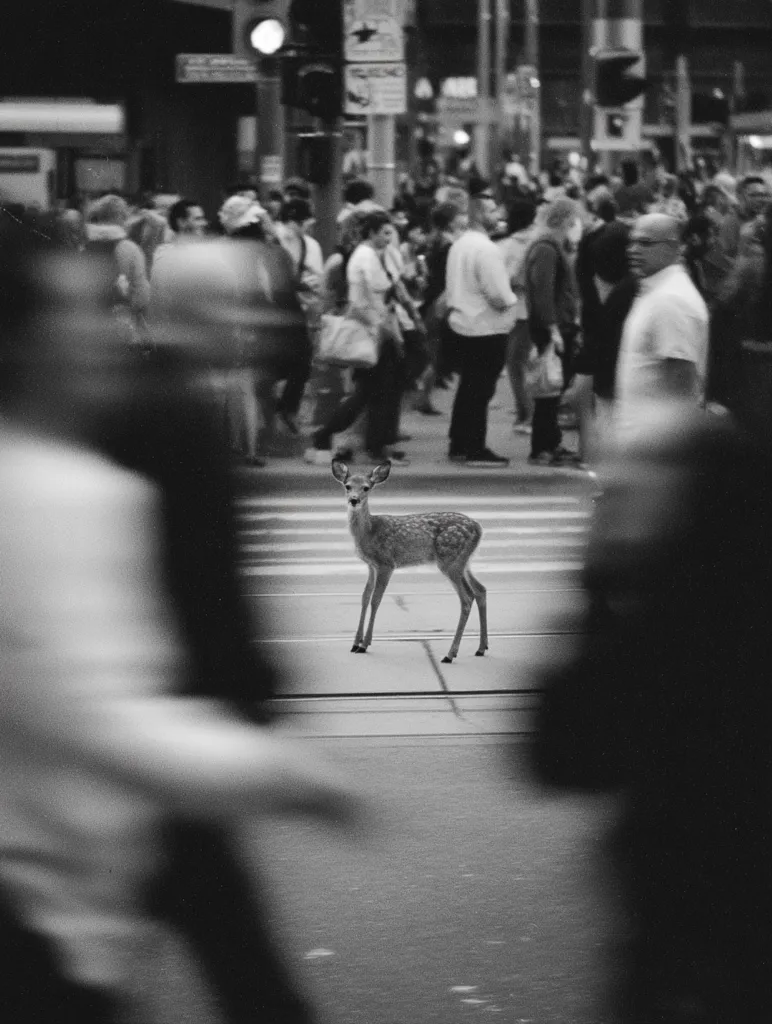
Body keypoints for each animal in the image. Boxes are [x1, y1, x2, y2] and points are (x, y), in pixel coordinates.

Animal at [331, 458, 488, 663]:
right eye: (347, 486)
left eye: (366, 488)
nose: (354, 500)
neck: (369, 532)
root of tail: (478, 527)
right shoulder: (371, 565)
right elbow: (364, 597)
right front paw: (355, 643)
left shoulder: (386, 563)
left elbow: (376, 600)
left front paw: (364, 644)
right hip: (463, 561)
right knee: (480, 590)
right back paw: (481, 648)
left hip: (449, 561)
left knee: (467, 598)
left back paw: (450, 654)